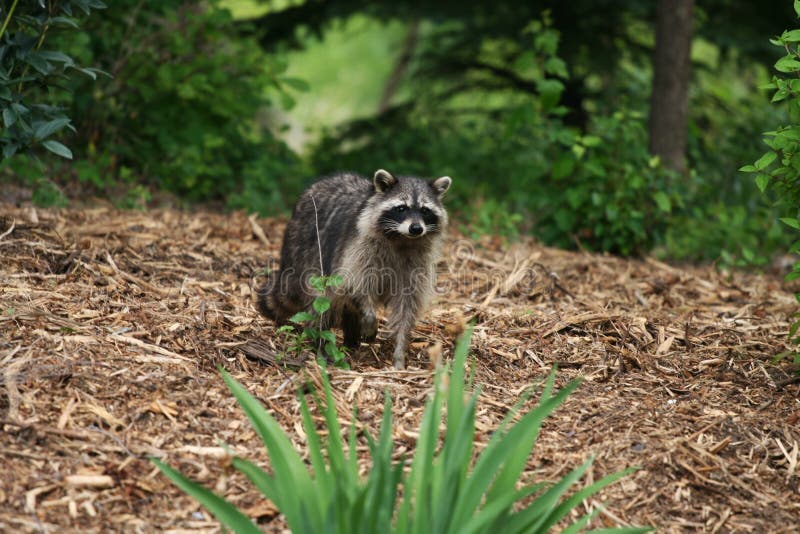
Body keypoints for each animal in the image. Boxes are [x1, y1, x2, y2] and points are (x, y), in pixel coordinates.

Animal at [257, 169, 452, 369]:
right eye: (401, 208)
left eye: (425, 211)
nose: (416, 228)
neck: (402, 239)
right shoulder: (359, 249)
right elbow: (357, 286)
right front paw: (370, 320)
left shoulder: (416, 265)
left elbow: (406, 308)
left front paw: (399, 352)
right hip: (309, 253)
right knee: (322, 301)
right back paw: (320, 342)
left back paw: (351, 338)